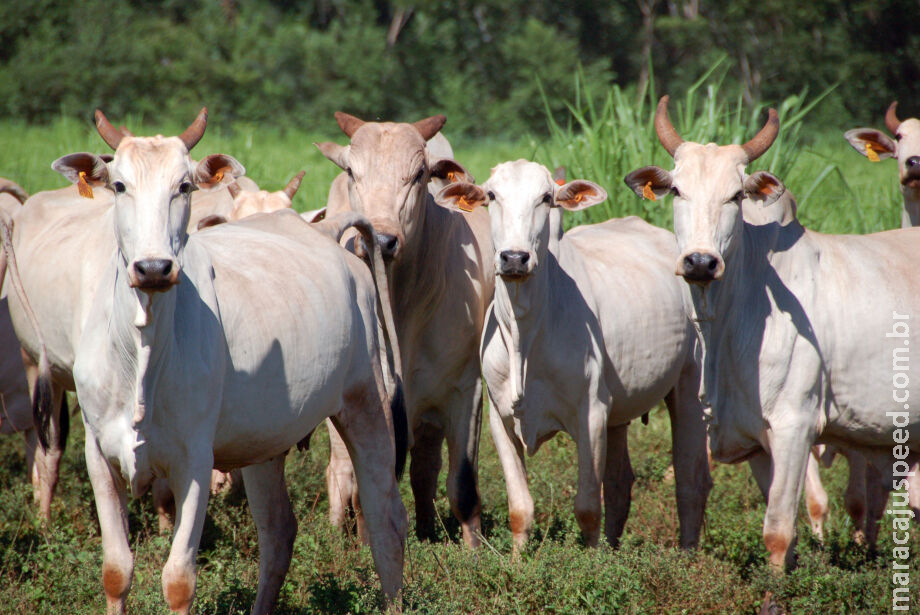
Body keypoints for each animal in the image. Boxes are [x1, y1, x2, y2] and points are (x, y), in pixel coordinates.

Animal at [38, 112, 406, 615]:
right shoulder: (100, 455)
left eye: (184, 186)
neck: (141, 357)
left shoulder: (195, 462)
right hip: (266, 440)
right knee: (278, 531)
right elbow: (116, 571)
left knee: (385, 517)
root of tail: (323, 232)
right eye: (119, 185)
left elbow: (178, 579)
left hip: (367, 400)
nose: (153, 268)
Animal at [314, 113, 492, 548]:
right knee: (340, 471)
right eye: (351, 171)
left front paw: (474, 551)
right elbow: (367, 484)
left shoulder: (466, 389)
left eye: (418, 175)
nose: (379, 239)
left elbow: (462, 484)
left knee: (425, 468)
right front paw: (364, 545)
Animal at [436, 161, 712, 552]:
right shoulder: (499, 419)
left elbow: (587, 508)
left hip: (689, 383)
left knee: (690, 480)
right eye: (491, 195)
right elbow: (520, 509)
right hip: (619, 411)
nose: (514, 258)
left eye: (545, 197)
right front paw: (517, 560)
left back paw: (687, 553)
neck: (525, 333)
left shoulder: (591, 413)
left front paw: (592, 560)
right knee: (620, 484)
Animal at [624, 96, 920, 572]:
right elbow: (784, 530)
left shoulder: (794, 426)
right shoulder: (757, 442)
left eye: (735, 196)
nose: (700, 262)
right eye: (677, 191)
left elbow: (778, 530)